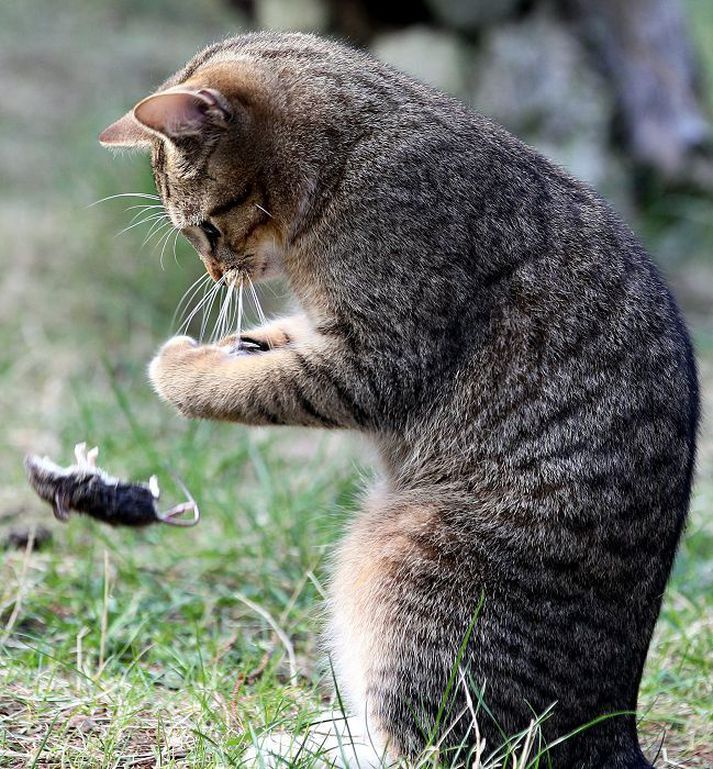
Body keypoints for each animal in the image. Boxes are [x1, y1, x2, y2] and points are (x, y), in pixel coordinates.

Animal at [101, 31, 700, 768]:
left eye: (207, 229)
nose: (218, 273)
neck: (344, 158)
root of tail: (611, 730)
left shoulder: (376, 358)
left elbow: (256, 383)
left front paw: (179, 369)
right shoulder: (322, 332)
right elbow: (270, 343)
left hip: (399, 559)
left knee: (427, 747)